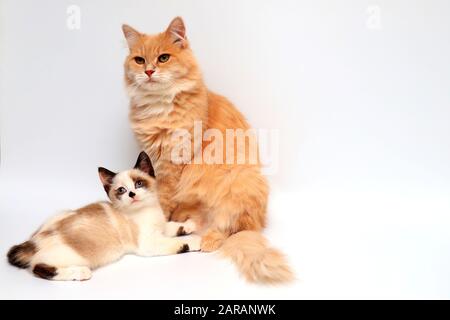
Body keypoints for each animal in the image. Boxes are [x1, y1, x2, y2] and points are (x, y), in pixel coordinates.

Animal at [6, 152, 200, 280]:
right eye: (121, 190)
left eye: (139, 183)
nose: (132, 194)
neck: (146, 210)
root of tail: (32, 242)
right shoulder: (149, 244)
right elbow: (180, 242)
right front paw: (197, 241)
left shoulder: (160, 228)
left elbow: (174, 226)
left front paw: (190, 225)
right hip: (74, 256)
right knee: (38, 267)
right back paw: (80, 272)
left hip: (60, 212)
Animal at [121, 18, 294, 282]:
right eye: (139, 60)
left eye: (163, 58)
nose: (149, 71)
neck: (158, 107)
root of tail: (257, 225)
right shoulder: (154, 158)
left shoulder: (173, 163)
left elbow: (164, 200)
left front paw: (164, 222)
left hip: (238, 182)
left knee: (229, 229)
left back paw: (208, 240)